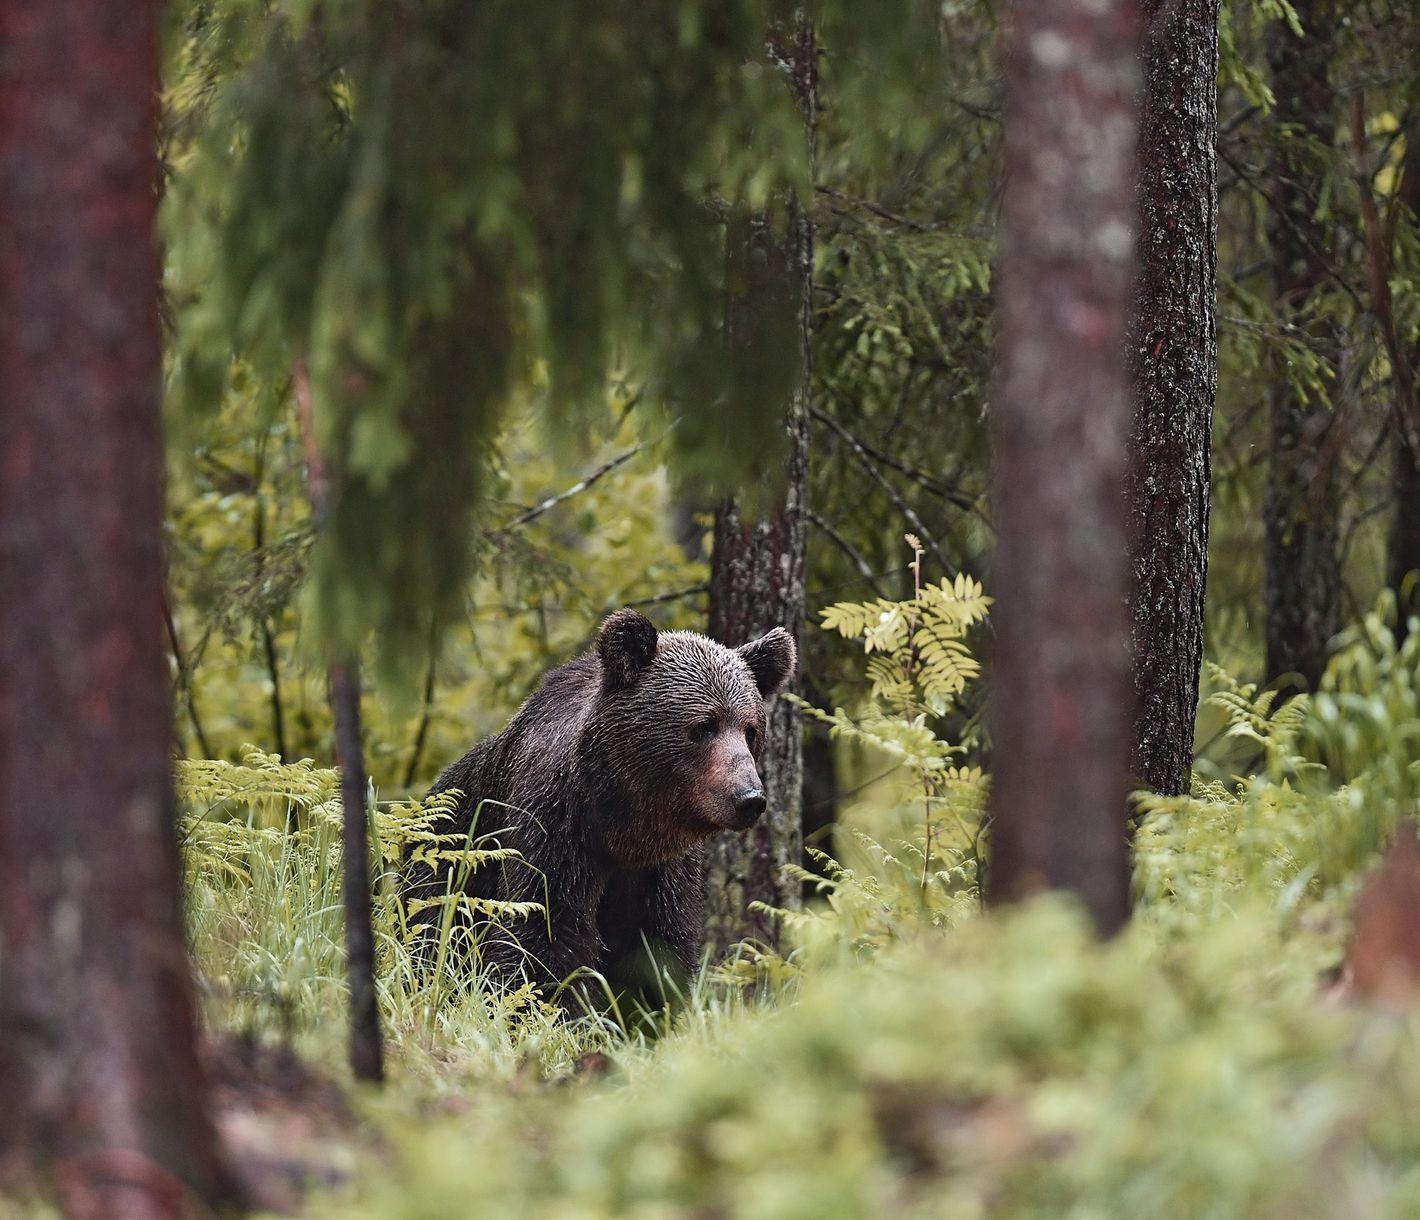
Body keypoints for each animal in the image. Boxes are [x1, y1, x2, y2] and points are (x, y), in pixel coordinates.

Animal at [402, 608, 796, 1006]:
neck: (621, 819)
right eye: (704, 725)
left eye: (750, 730)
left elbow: (661, 944)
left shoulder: (662, 868)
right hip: (445, 863)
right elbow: (544, 933)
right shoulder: (553, 827)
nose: (749, 798)